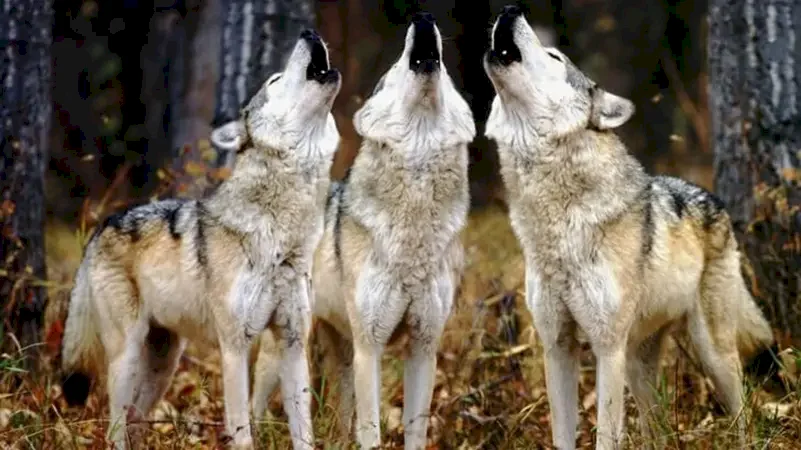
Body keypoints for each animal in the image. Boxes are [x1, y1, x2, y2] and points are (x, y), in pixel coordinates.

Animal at [59, 29, 341, 450]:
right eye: (274, 79)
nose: (310, 33)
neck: (281, 235)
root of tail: (103, 224)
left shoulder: (292, 344)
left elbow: (303, 431)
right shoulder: (234, 347)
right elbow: (242, 430)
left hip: (163, 365)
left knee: (135, 421)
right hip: (126, 357)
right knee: (114, 427)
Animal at [251, 12, 475, 450]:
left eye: (446, 74)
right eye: (394, 68)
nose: (424, 17)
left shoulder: (424, 348)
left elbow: (415, 430)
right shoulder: (370, 348)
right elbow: (371, 431)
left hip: (340, 351)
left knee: (340, 417)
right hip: (287, 351)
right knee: (253, 404)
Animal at [482, 5, 775, 449]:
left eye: (554, 57)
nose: (509, 9)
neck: (556, 220)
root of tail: (714, 199)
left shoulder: (607, 349)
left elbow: (606, 435)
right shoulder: (557, 347)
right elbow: (563, 434)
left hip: (712, 353)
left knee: (743, 414)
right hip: (640, 366)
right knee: (660, 431)